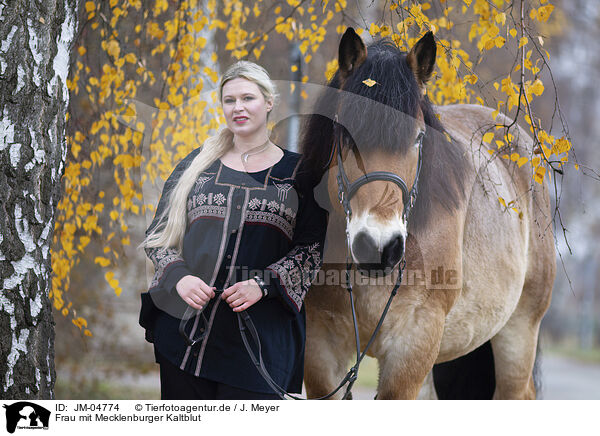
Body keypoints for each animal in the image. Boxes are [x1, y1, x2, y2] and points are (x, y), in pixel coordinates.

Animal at [298, 29, 556, 400]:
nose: (379, 247)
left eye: (419, 137)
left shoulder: (414, 342)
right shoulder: (320, 347)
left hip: (519, 333)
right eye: (345, 134)